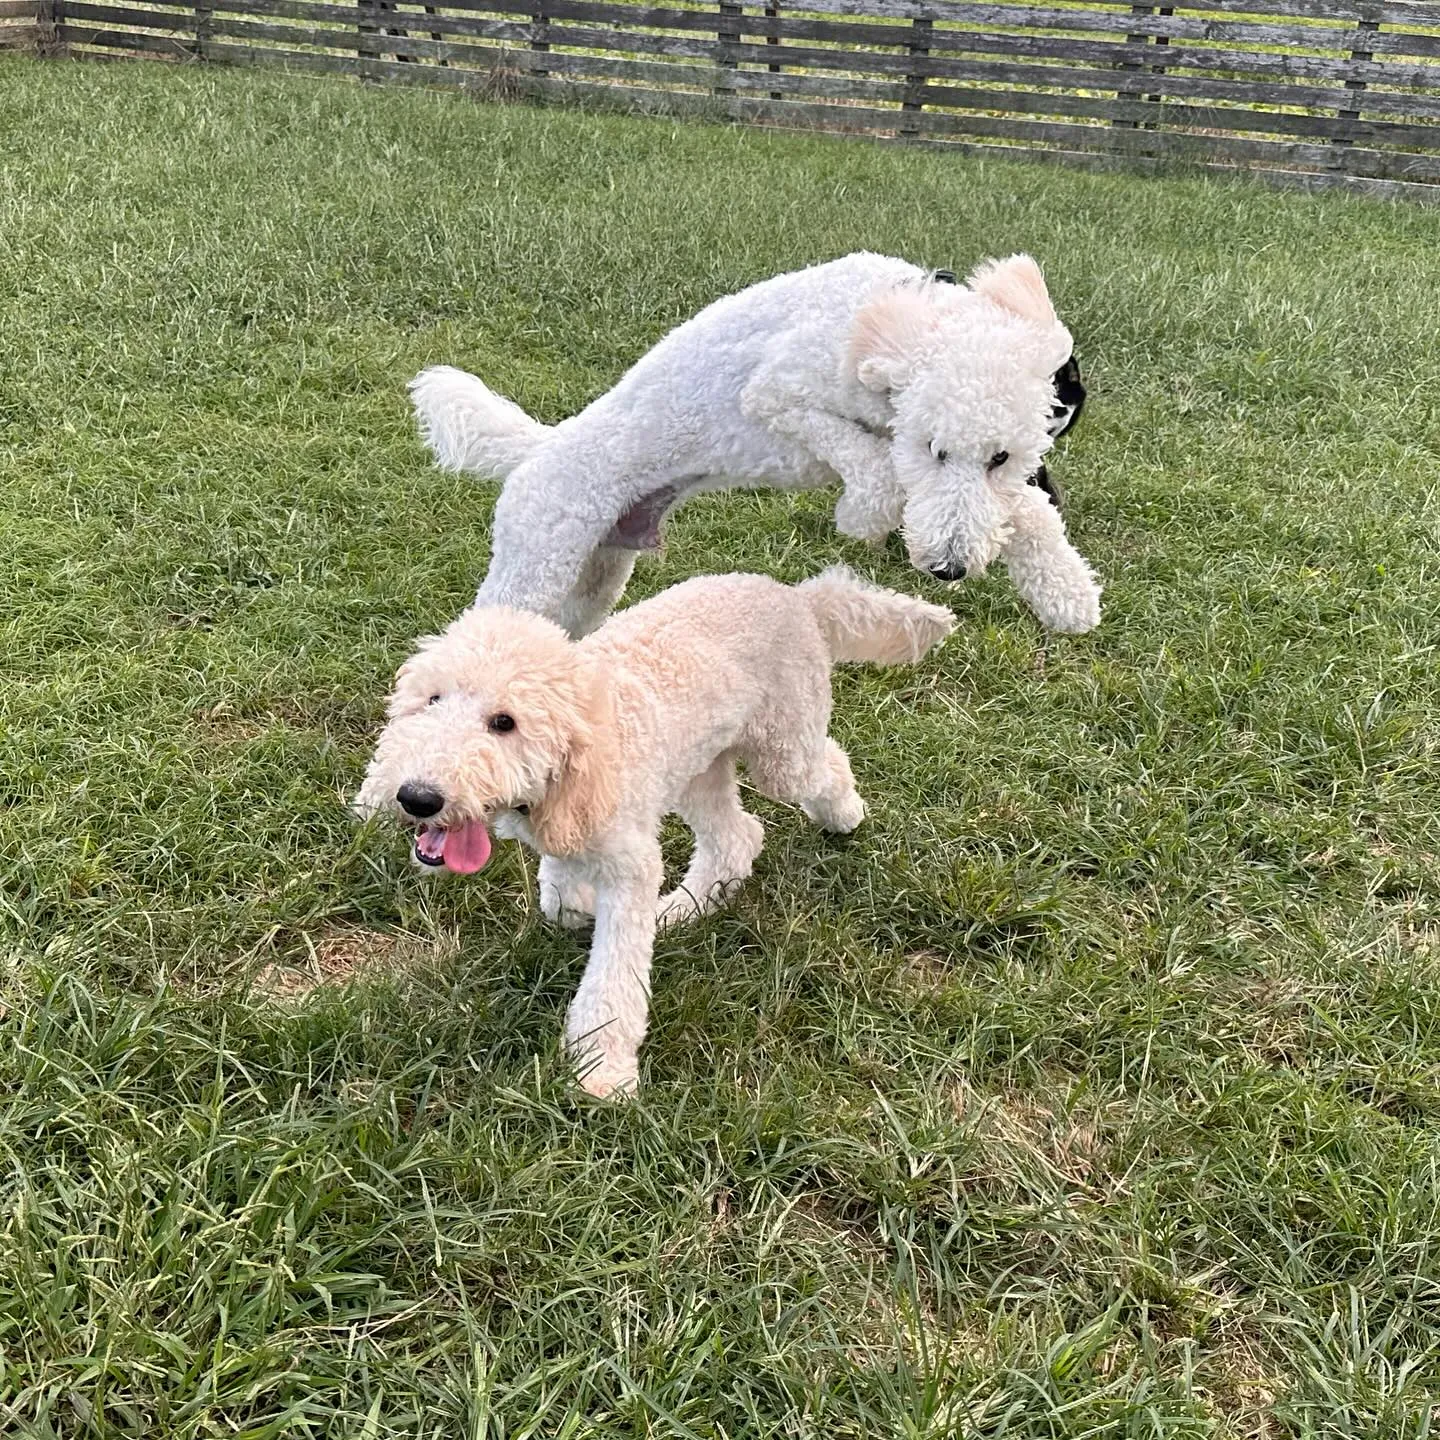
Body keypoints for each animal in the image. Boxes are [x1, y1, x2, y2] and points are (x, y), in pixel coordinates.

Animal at [354, 561, 950, 1088]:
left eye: (505, 722)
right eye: (431, 700)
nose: (417, 798)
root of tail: (799, 598)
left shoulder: (630, 866)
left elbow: (613, 980)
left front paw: (601, 1070)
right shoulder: (571, 836)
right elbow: (560, 896)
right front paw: (580, 908)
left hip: (782, 751)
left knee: (822, 768)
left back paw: (845, 815)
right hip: (698, 766)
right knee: (736, 836)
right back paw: (684, 909)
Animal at [414, 250, 1100, 639]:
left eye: (1001, 458)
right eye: (934, 449)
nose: (949, 569)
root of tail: (538, 450)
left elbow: (1029, 514)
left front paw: (1068, 595)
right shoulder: (777, 394)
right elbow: (872, 465)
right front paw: (863, 515)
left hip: (593, 575)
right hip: (535, 562)